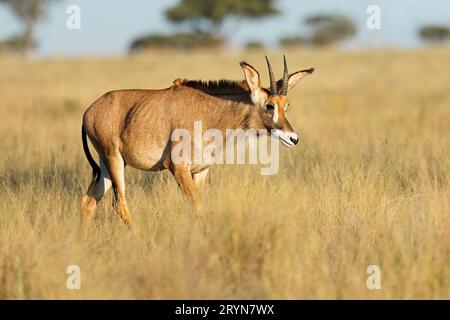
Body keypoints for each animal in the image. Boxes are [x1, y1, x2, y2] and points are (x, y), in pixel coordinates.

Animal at [81, 55, 312, 232]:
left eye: (286, 106)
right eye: (270, 105)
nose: (293, 138)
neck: (208, 113)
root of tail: (89, 111)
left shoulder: (200, 170)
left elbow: (199, 207)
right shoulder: (178, 168)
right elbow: (197, 207)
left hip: (108, 165)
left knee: (89, 201)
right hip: (113, 160)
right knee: (120, 204)